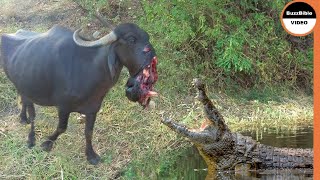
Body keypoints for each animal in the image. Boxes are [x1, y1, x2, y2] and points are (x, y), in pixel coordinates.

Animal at [0, 22, 158, 165]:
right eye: (131, 39)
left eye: (147, 37)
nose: (152, 56)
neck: (89, 71)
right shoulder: (63, 107)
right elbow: (61, 128)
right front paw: (47, 142)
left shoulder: (93, 109)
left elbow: (88, 132)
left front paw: (91, 155)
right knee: (30, 109)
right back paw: (30, 136)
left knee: (24, 100)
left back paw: (23, 118)